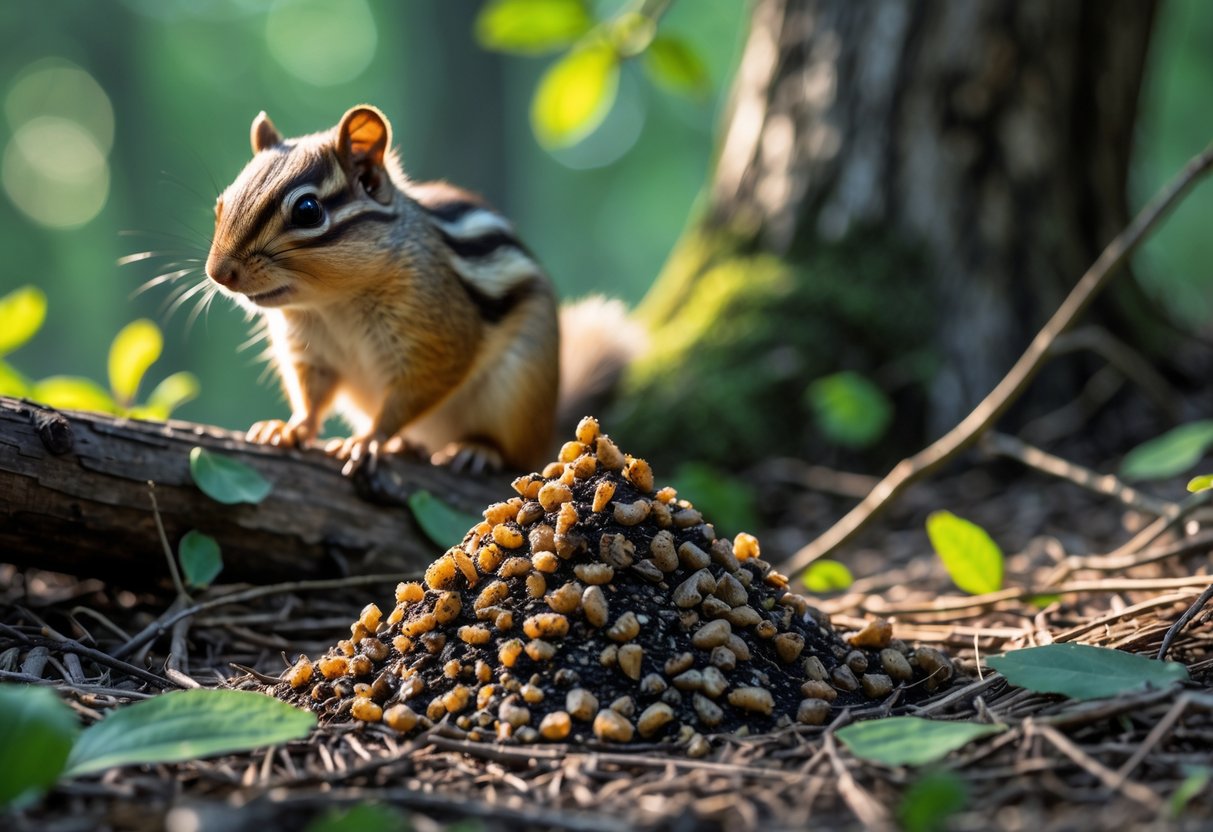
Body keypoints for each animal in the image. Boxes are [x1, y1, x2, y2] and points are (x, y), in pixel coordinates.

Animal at [204, 105, 638, 475]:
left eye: (308, 211)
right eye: (221, 205)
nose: (219, 274)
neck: (334, 302)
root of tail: (548, 428)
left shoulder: (436, 339)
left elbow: (412, 393)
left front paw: (370, 439)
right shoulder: (312, 354)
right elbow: (312, 397)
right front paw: (290, 427)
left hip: (518, 390)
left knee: (515, 452)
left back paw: (478, 449)